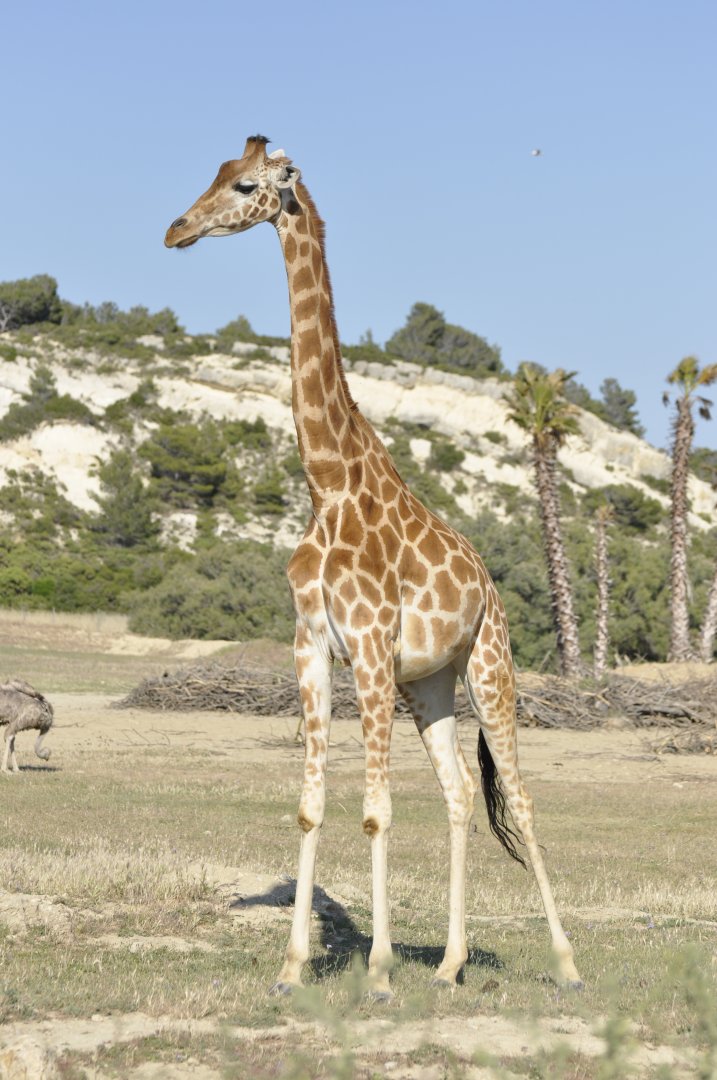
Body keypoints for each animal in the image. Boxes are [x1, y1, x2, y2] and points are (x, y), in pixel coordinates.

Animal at [165, 135, 582, 998]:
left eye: (246, 186)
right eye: (215, 174)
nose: (175, 231)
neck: (327, 481)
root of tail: (490, 585)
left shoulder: (368, 643)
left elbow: (376, 809)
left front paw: (380, 969)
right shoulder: (313, 647)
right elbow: (313, 805)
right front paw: (293, 966)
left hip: (489, 663)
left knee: (519, 799)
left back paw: (564, 963)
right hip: (430, 683)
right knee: (460, 796)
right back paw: (451, 964)